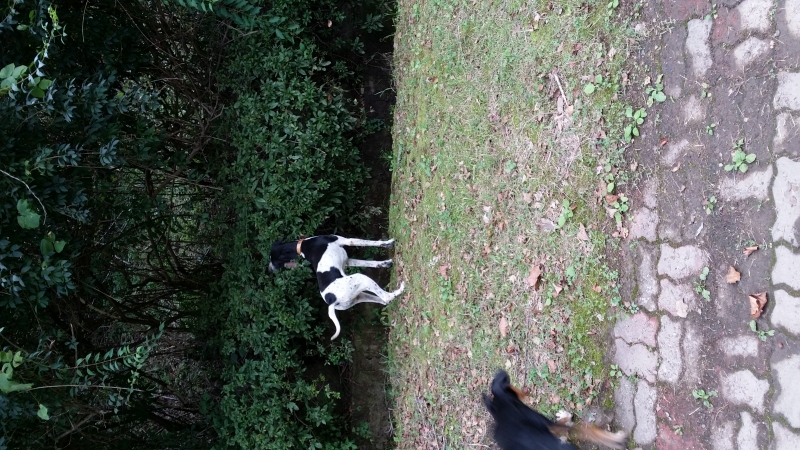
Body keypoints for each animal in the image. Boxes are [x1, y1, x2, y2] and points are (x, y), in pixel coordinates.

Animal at [269, 235, 405, 340]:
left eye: (272, 259)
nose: (270, 270)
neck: (302, 246)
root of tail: (331, 301)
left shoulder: (348, 260)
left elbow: (370, 263)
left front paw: (385, 263)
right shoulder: (347, 240)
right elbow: (371, 243)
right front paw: (388, 243)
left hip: (359, 296)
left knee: (383, 301)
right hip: (361, 279)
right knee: (386, 297)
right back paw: (400, 289)